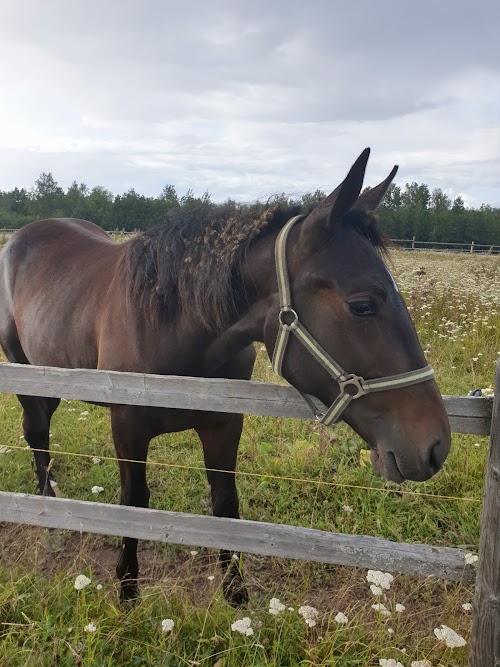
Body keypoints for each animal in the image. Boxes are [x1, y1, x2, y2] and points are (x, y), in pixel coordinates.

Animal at [0, 150, 452, 604]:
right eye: (362, 305)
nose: (435, 446)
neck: (170, 326)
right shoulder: (126, 425)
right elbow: (132, 504)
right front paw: (127, 591)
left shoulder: (223, 424)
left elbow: (225, 505)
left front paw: (236, 596)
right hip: (28, 374)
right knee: (36, 431)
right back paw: (49, 513)